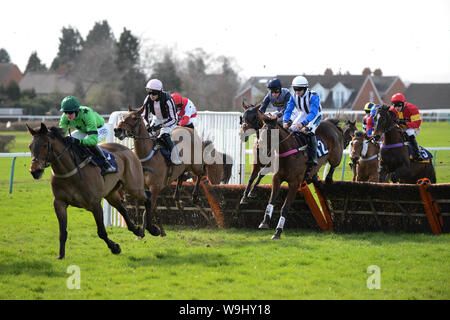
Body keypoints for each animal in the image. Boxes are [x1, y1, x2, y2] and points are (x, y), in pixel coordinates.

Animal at [26, 122, 160, 260]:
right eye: (30, 146)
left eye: (44, 145)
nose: (35, 171)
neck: (69, 171)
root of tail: (129, 150)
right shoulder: (59, 203)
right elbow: (62, 231)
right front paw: (61, 255)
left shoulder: (94, 203)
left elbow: (101, 232)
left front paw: (115, 247)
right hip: (110, 193)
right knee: (122, 208)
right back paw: (137, 230)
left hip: (133, 186)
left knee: (148, 197)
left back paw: (152, 229)